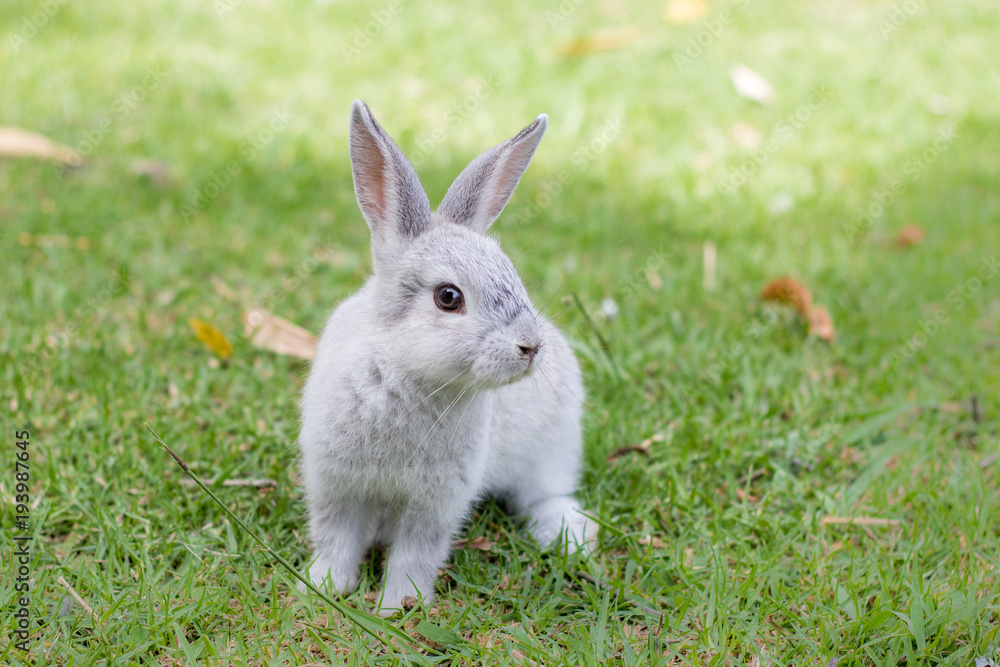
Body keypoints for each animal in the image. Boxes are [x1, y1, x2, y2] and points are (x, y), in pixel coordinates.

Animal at [298, 100, 596, 616]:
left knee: (543, 494)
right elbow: (336, 539)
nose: (530, 346)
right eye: (448, 297)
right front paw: (324, 587)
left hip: (553, 448)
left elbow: (415, 554)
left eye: (512, 274)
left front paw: (397, 606)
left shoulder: (435, 503)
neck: (404, 373)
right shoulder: (334, 483)